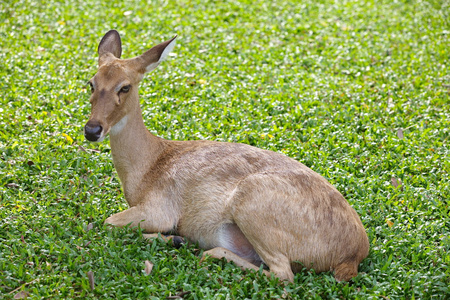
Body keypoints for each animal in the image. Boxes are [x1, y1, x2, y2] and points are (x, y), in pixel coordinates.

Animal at [83, 30, 370, 284]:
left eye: (125, 87)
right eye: (91, 83)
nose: (92, 130)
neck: (148, 167)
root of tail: (353, 255)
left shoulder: (161, 208)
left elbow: (107, 222)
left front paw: (174, 238)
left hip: (251, 201)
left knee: (283, 274)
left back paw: (200, 250)